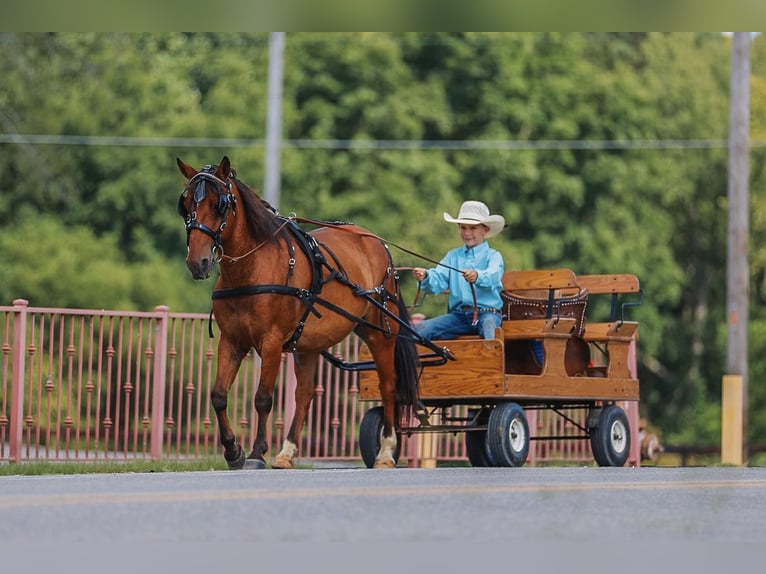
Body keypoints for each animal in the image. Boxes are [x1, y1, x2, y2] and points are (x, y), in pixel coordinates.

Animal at [176, 156, 421, 469]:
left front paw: (256, 453)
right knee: (304, 395)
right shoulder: (232, 341)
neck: (251, 268)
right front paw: (233, 451)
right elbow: (219, 395)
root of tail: (376, 242)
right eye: (185, 204)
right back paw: (287, 452)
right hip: (309, 344)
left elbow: (263, 398)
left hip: (380, 332)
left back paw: (386, 451)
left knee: (388, 385)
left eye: (219, 204)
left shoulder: (270, 342)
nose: (198, 262)